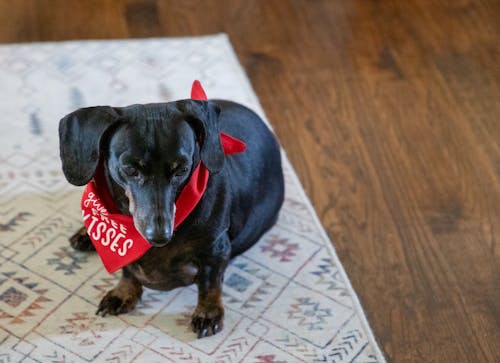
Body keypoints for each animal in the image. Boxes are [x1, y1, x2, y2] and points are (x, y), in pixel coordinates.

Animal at [58, 98, 284, 340]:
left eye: (182, 170)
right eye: (130, 169)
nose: (159, 236)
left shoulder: (216, 249)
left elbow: (210, 283)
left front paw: (208, 313)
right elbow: (128, 271)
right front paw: (123, 293)